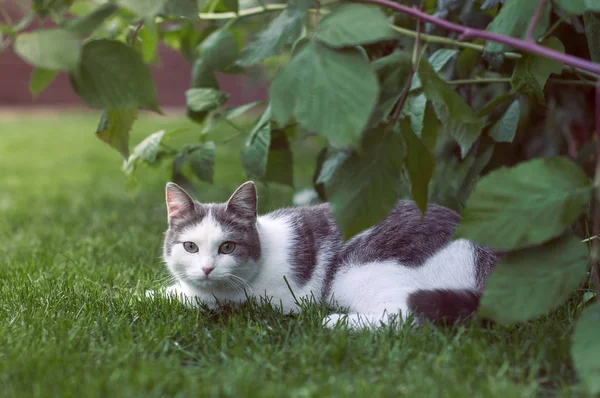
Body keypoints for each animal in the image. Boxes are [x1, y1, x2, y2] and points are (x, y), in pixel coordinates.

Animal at [151, 181, 502, 330]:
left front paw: (161, 295)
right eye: (190, 247)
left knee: (407, 315)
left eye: (227, 247)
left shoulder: (275, 299)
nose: (207, 269)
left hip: (354, 271)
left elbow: (199, 298)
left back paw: (338, 322)